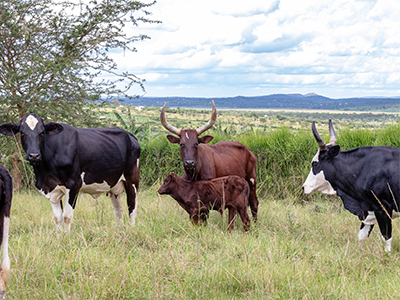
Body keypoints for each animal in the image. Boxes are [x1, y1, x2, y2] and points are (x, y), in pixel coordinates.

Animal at [0, 113, 141, 231]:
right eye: (22, 133)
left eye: (42, 132)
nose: (34, 155)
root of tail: (130, 135)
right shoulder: (52, 188)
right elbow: (58, 217)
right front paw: (59, 237)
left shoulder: (74, 184)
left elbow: (67, 216)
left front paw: (67, 238)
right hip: (114, 185)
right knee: (119, 210)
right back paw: (120, 230)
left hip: (132, 180)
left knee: (132, 207)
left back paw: (132, 229)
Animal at [304, 120, 400, 252]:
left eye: (315, 163)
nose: (304, 187)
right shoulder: (368, 208)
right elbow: (362, 236)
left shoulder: (383, 207)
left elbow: (386, 238)